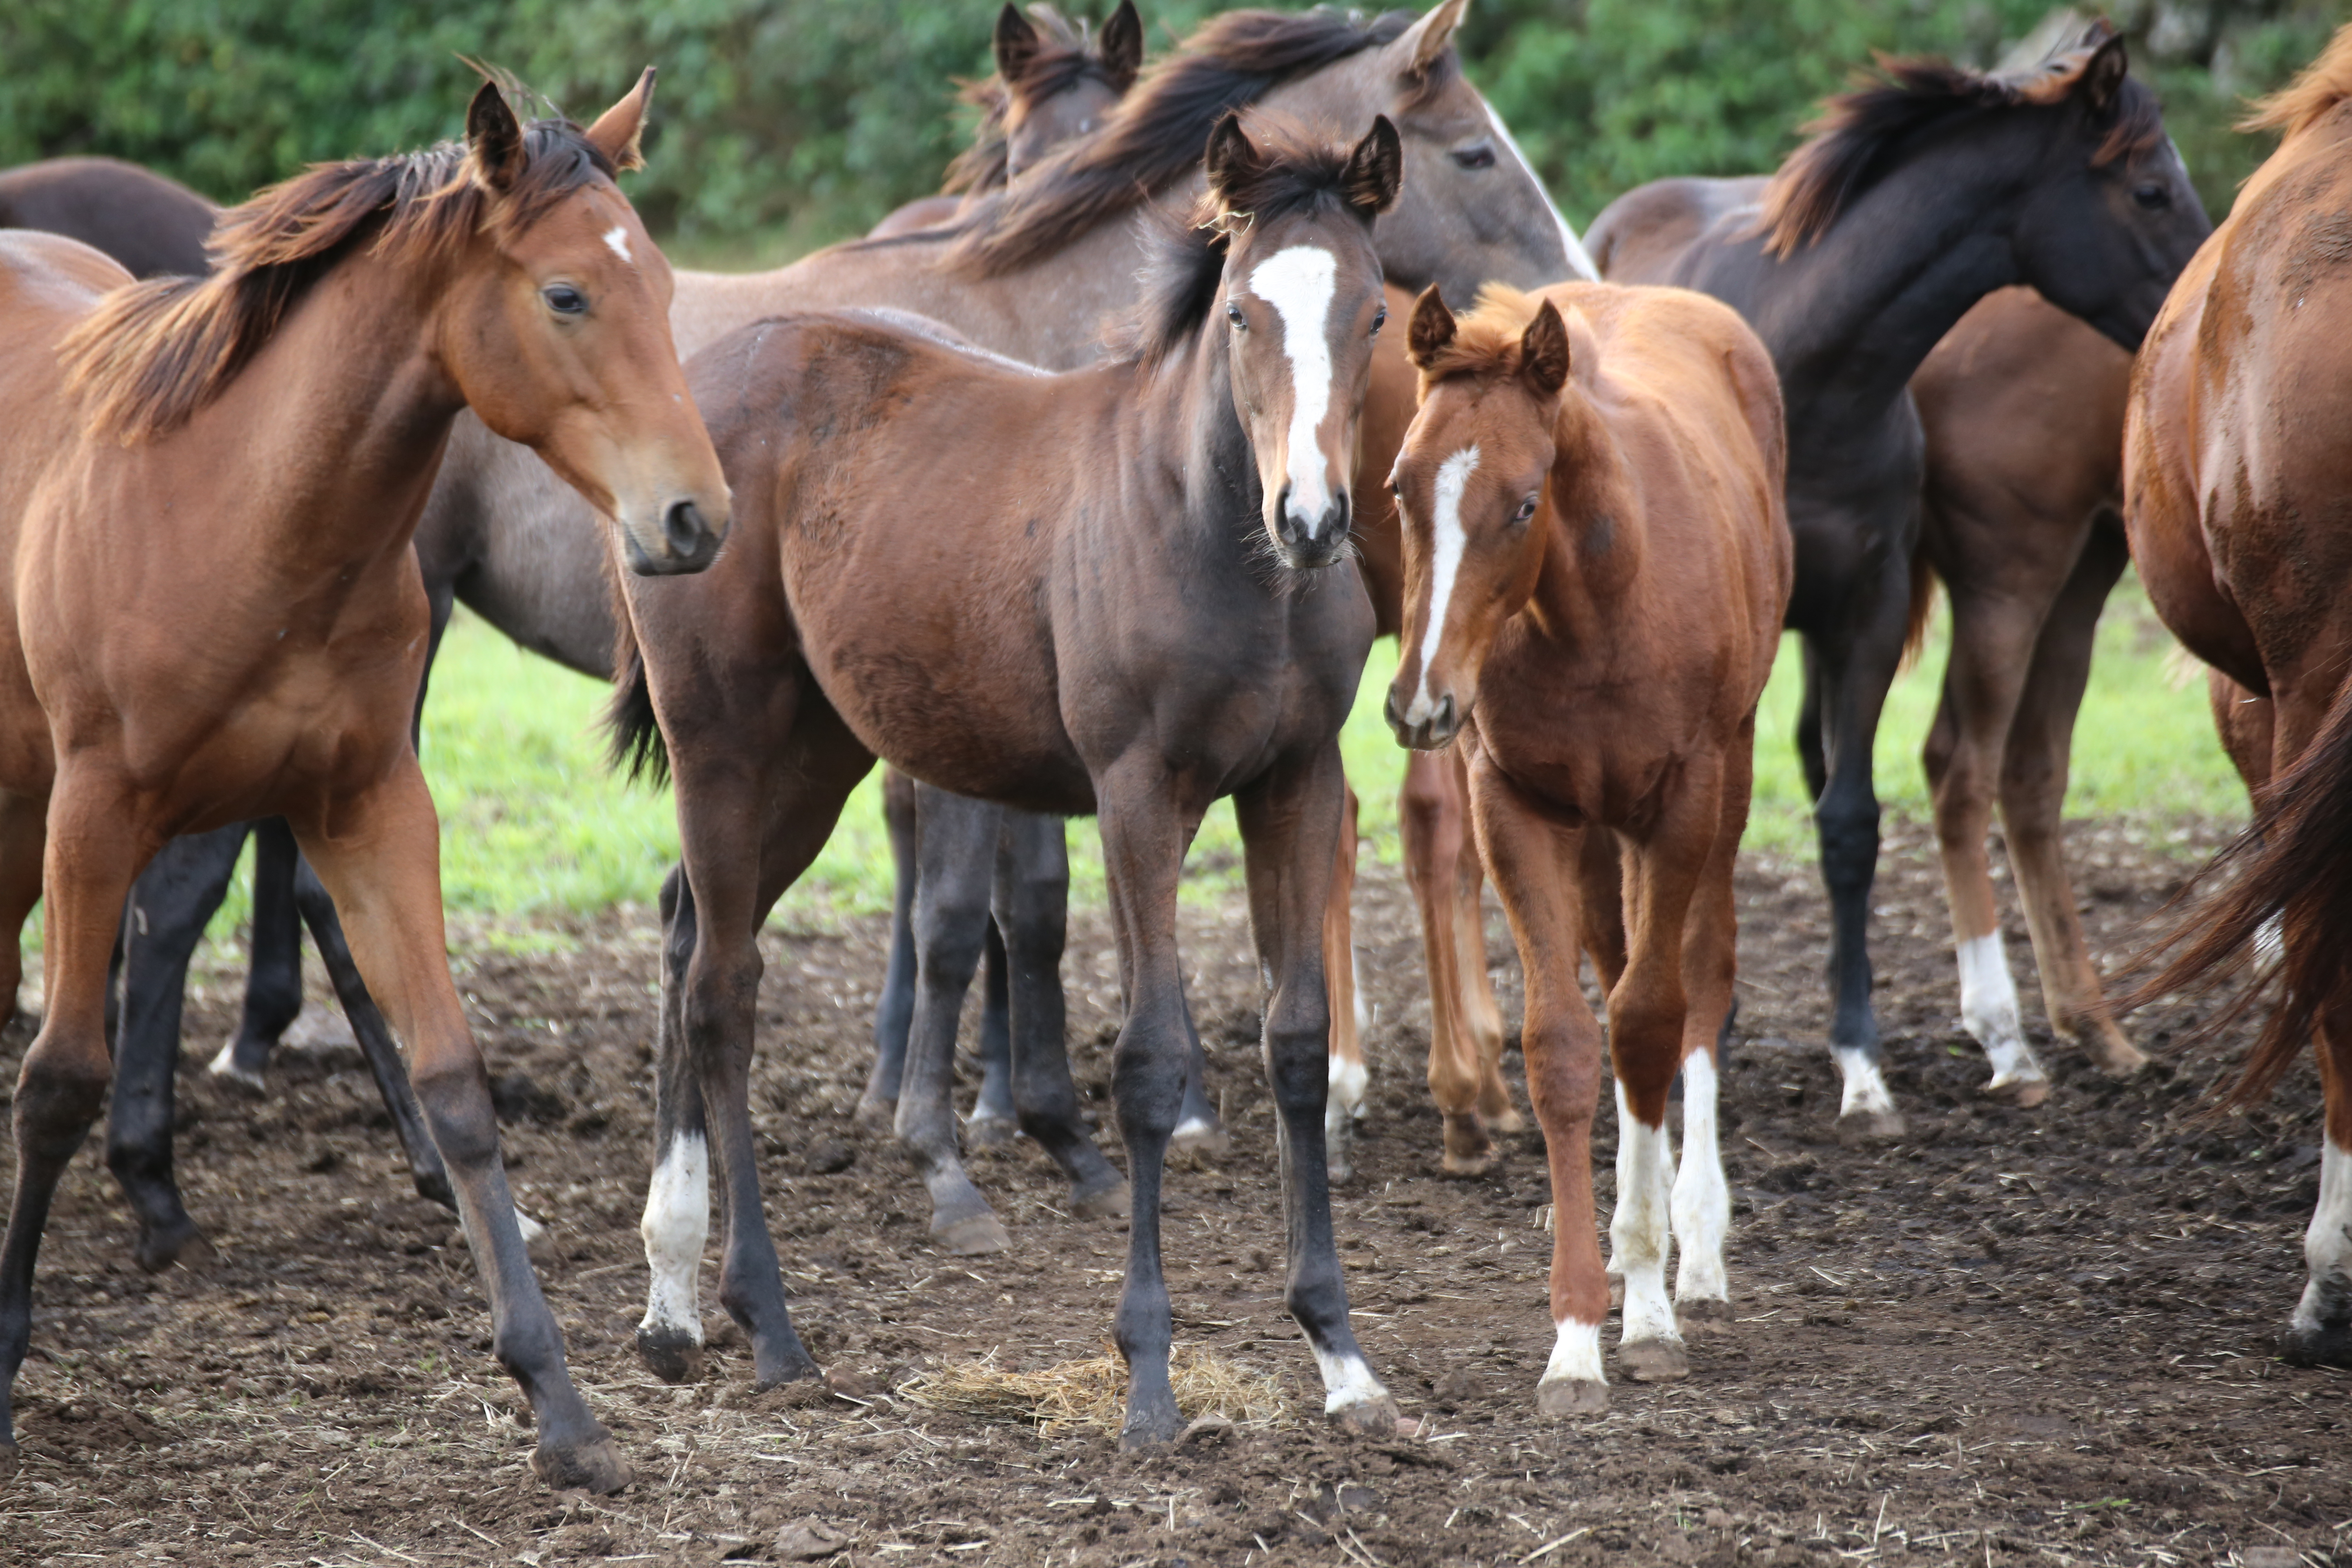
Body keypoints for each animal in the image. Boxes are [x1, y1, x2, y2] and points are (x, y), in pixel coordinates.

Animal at [0, 76, 729, 1495]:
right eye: (567, 293)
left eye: (666, 283)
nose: (696, 519)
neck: (247, 511)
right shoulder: (96, 813)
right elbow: (56, 1079)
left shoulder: (373, 806)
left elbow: (453, 1081)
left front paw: (560, 1404)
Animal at [616, 113, 1401, 1448]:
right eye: (1241, 312)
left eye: (1374, 314)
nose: (1311, 516)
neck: (1214, 535)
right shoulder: (1139, 790)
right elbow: (1149, 1061)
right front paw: (1147, 1380)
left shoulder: (1298, 778)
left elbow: (1296, 1040)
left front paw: (1340, 1353)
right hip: (724, 738)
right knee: (721, 986)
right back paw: (767, 1324)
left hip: (814, 755)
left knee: (683, 932)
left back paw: (672, 1305)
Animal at [1373, 278, 1778, 1410]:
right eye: (1397, 487)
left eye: (1522, 502)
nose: (1420, 704)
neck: (1598, 608)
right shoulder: (1516, 805)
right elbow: (1561, 1042)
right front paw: (1574, 1334)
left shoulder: (1682, 800)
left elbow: (1647, 1020)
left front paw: (1646, 1309)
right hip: (1597, 830)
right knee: (1614, 955)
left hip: (1725, 773)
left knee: (1698, 975)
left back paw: (1697, 1240)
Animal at [1571, 27, 2211, 1142]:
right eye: (2147, 189)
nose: (2201, 300)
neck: (1816, 373)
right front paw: (1708, 1029)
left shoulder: (1861, 620)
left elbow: (1848, 821)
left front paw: (1859, 1061)